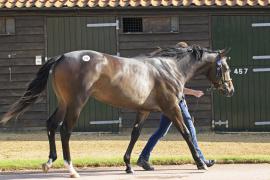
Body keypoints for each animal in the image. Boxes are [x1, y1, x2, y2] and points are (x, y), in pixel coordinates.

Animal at [0, 43, 234, 177]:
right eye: (225, 68)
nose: (230, 90)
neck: (170, 68)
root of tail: (62, 57)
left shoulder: (144, 110)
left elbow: (135, 134)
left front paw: (129, 165)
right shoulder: (171, 107)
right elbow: (186, 132)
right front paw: (200, 163)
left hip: (64, 102)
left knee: (51, 124)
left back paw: (49, 162)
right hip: (76, 102)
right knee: (65, 129)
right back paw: (71, 169)